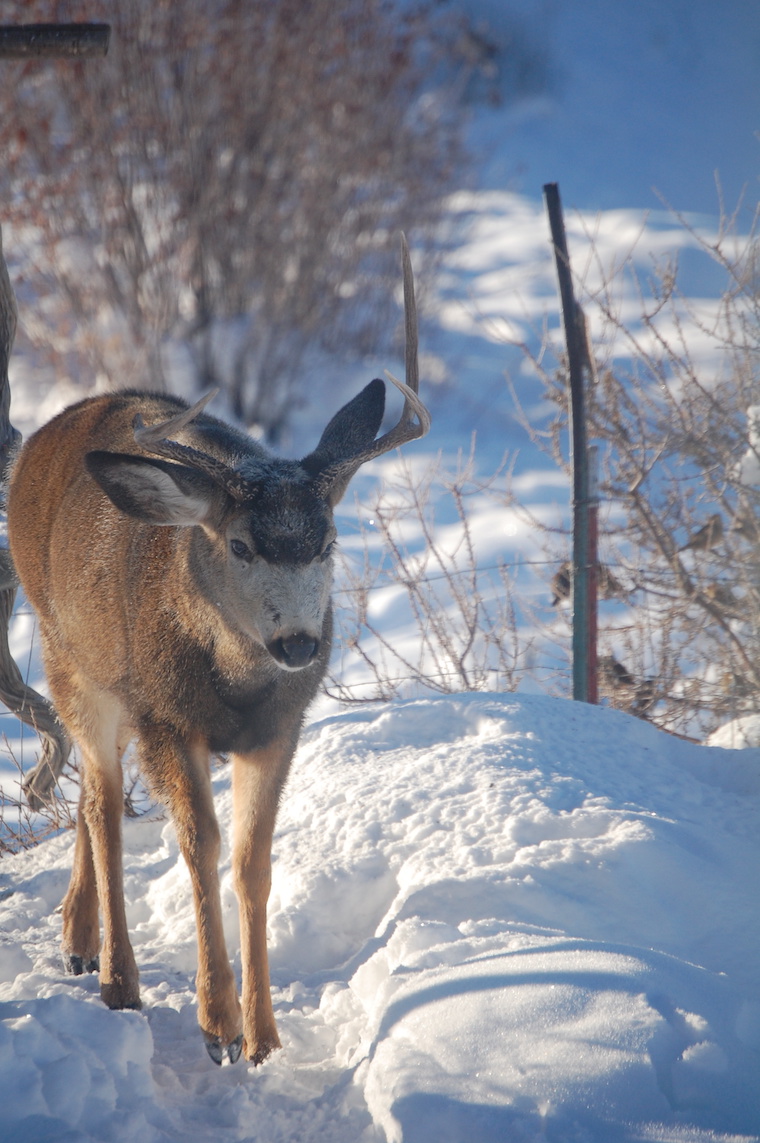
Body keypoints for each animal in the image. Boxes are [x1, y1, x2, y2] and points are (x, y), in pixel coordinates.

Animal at [6, 237, 430, 1066]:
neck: (236, 684)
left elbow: (253, 862)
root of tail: (49, 430)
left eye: (327, 542)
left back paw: (79, 935)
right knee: (101, 800)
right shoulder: (168, 717)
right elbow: (198, 845)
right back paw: (119, 978)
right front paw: (217, 1024)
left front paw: (264, 1036)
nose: (298, 641)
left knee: (92, 789)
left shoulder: (280, 728)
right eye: (238, 544)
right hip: (76, 662)